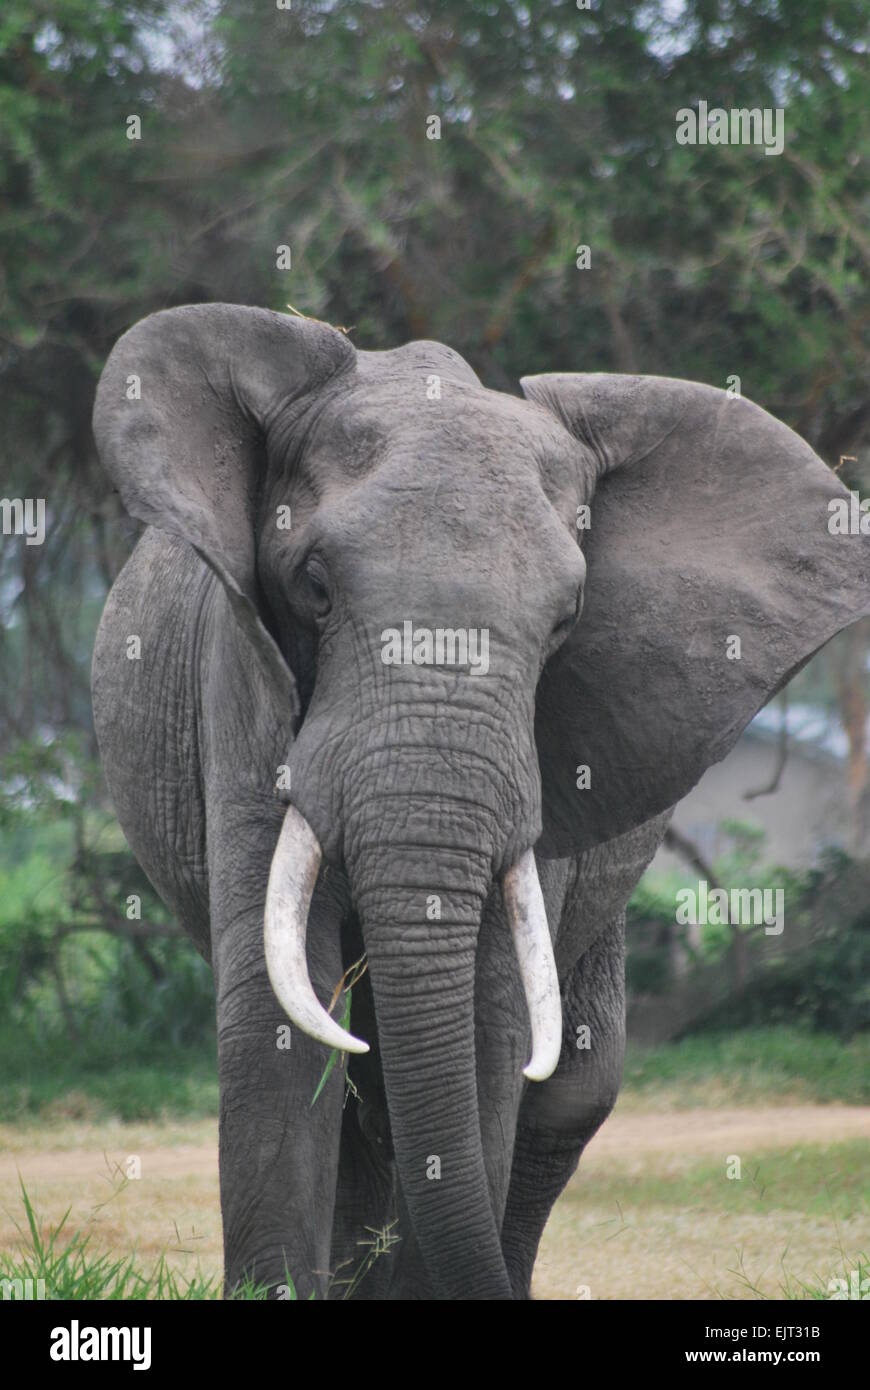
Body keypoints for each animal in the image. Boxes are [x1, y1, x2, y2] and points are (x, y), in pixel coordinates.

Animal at [91, 304, 867, 1301]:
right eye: (313, 587)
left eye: (567, 619)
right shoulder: (241, 668)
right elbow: (278, 1017)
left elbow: (492, 1022)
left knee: (569, 1089)